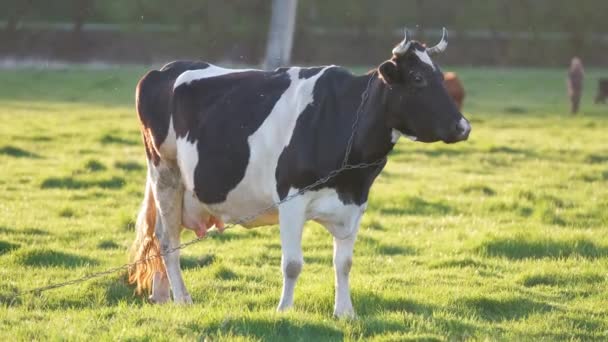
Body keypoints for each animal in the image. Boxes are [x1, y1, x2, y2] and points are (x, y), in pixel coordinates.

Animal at [127, 27, 470, 318]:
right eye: (417, 78)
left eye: (441, 77)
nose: (463, 126)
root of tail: (162, 70)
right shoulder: (290, 200)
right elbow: (292, 264)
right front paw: (284, 310)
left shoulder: (355, 204)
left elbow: (344, 263)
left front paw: (345, 312)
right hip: (165, 172)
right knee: (168, 240)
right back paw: (183, 298)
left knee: (159, 236)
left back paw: (162, 296)